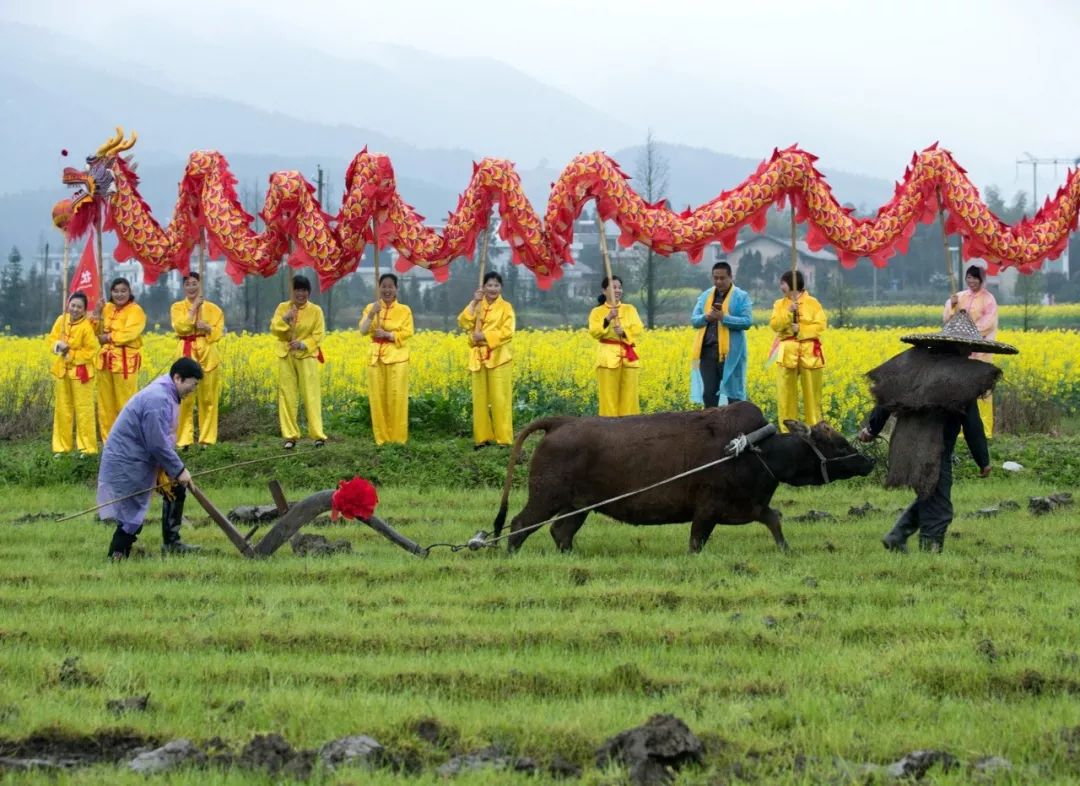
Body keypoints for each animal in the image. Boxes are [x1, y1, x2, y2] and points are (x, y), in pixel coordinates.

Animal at [494, 401, 872, 557]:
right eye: (837, 443)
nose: (868, 461)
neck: (754, 450)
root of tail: (561, 422)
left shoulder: (750, 506)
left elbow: (774, 520)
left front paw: (785, 550)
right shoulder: (707, 508)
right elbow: (696, 541)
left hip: (579, 506)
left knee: (561, 532)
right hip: (546, 497)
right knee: (519, 525)